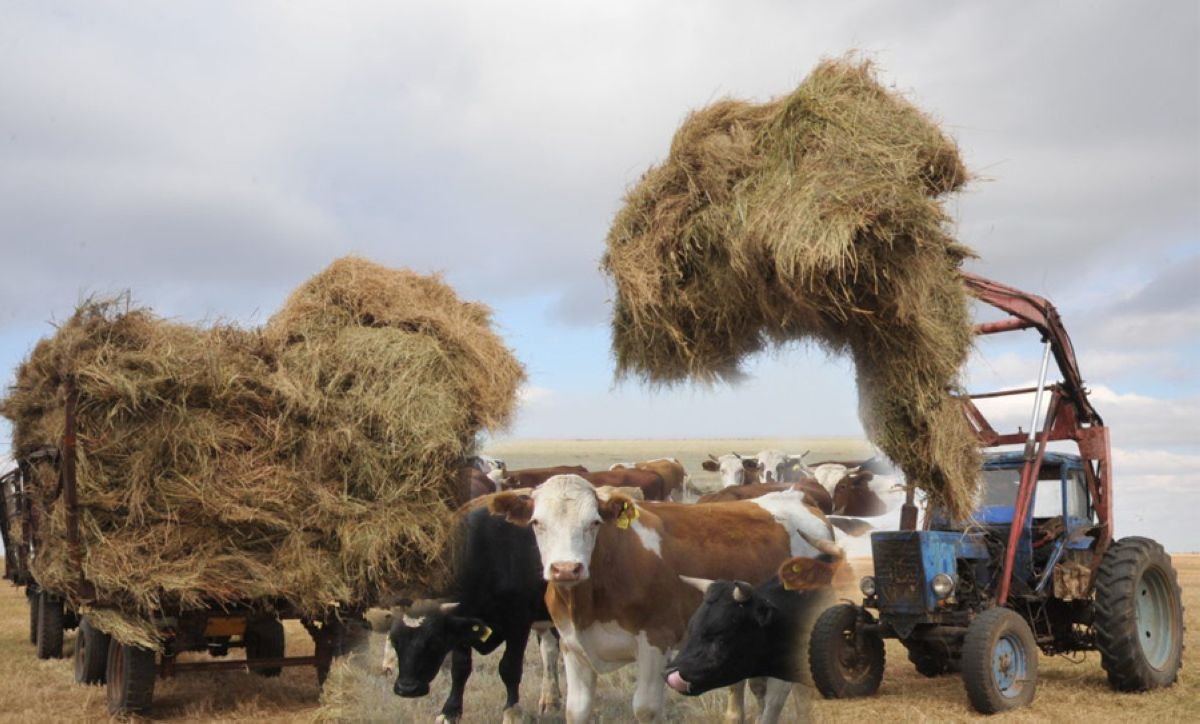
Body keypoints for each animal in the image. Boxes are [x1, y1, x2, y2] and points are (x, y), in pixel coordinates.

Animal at [391, 504, 564, 724]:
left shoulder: (519, 623)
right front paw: (450, 711)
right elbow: (460, 668)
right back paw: (551, 702)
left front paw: (511, 712)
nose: (407, 688)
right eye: (394, 641)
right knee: (550, 650)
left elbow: (510, 668)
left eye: (435, 642)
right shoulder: (463, 623)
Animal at [487, 477, 835, 720]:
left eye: (594, 523)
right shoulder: (573, 647)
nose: (565, 568)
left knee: (777, 696)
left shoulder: (656, 642)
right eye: (537, 523)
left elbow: (645, 709)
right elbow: (577, 710)